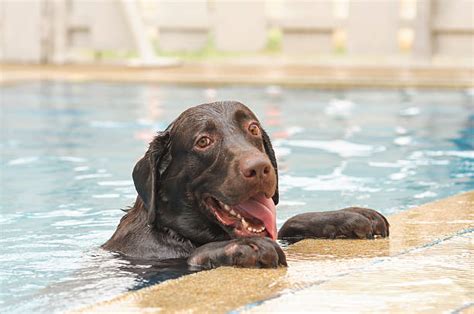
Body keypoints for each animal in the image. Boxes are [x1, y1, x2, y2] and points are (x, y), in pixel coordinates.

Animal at [102, 102, 386, 268]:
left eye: (253, 129)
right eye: (203, 141)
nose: (260, 168)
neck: (173, 232)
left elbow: (290, 222)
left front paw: (348, 216)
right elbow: (197, 254)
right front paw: (247, 247)